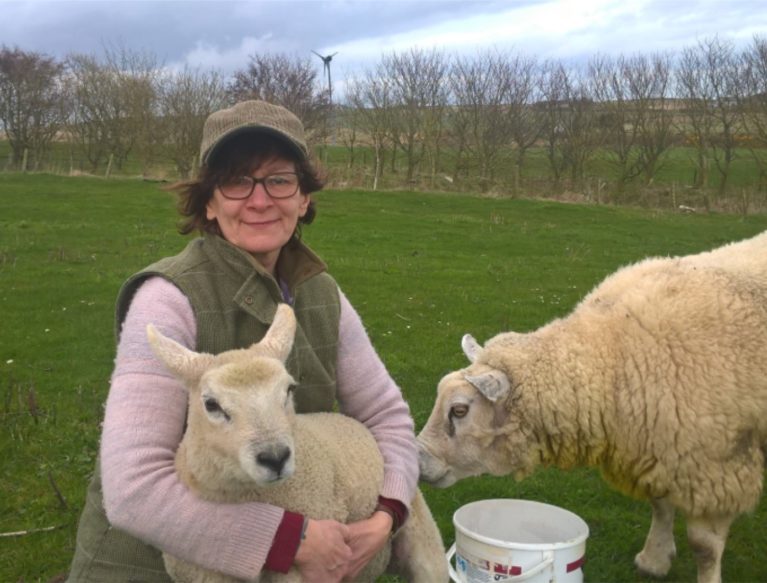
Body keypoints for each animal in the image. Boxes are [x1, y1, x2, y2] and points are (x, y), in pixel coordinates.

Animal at [416, 229, 767, 583]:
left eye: (460, 410)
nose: (419, 463)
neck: (614, 356)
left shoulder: (717, 465)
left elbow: (704, 547)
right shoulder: (660, 444)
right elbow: (660, 505)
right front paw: (654, 559)